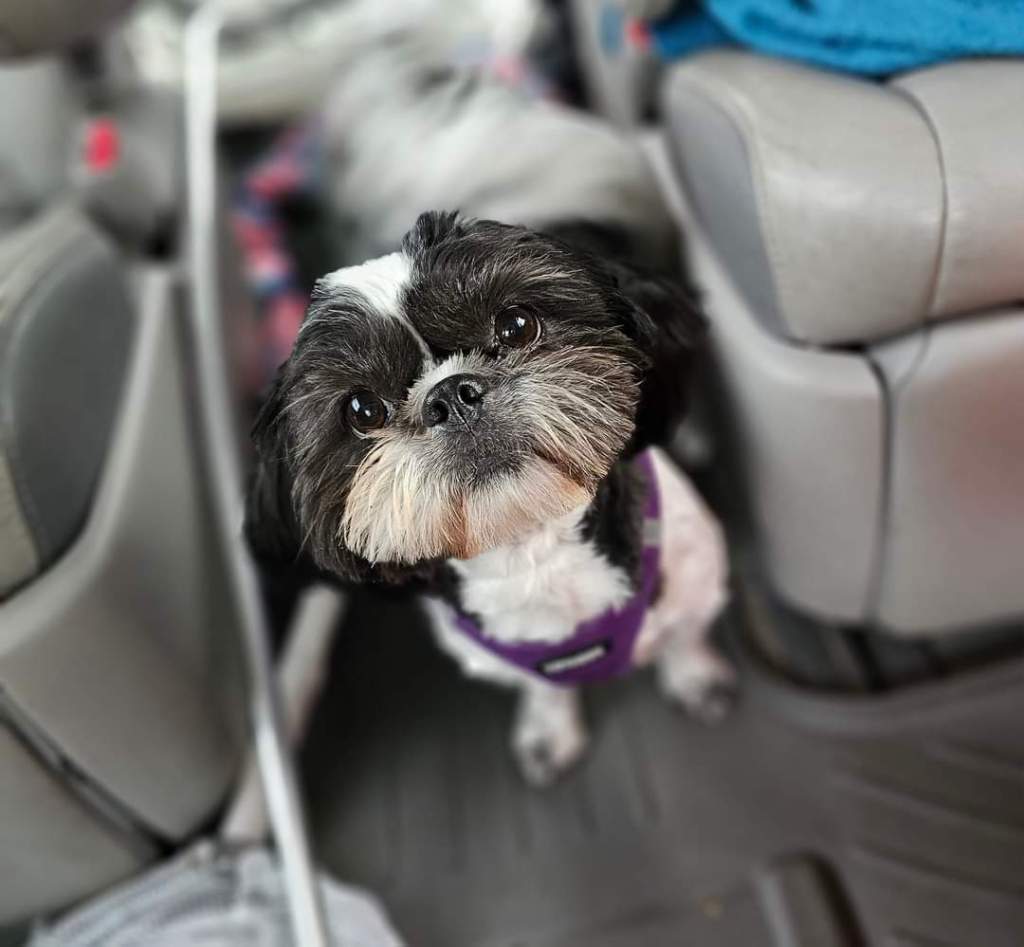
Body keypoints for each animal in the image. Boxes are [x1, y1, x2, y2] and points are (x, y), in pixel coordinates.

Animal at [244, 5, 734, 786]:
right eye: (361, 410)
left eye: (516, 324)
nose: (452, 394)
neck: (536, 550)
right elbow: (541, 688)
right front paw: (549, 727)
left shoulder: (693, 576)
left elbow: (685, 635)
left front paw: (695, 675)